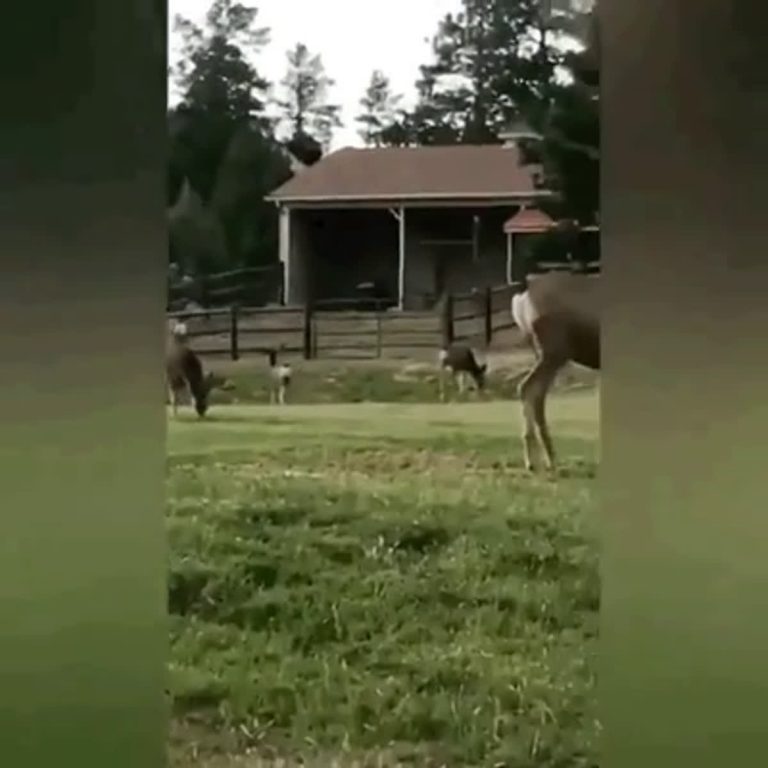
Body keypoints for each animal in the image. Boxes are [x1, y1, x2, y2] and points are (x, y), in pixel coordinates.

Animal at [511, 271, 600, 472]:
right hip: (553, 351)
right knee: (528, 387)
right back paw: (539, 460)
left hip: (541, 352)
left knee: (535, 394)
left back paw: (542, 458)